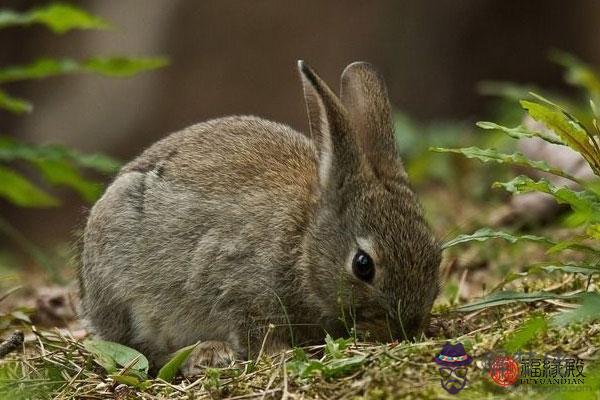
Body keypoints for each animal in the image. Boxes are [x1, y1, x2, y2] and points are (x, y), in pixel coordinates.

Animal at [79, 61, 440, 376]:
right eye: (363, 265)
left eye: (436, 253)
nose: (407, 328)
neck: (303, 243)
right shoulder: (236, 287)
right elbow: (253, 331)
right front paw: (281, 356)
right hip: (121, 291)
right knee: (142, 351)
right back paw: (207, 354)